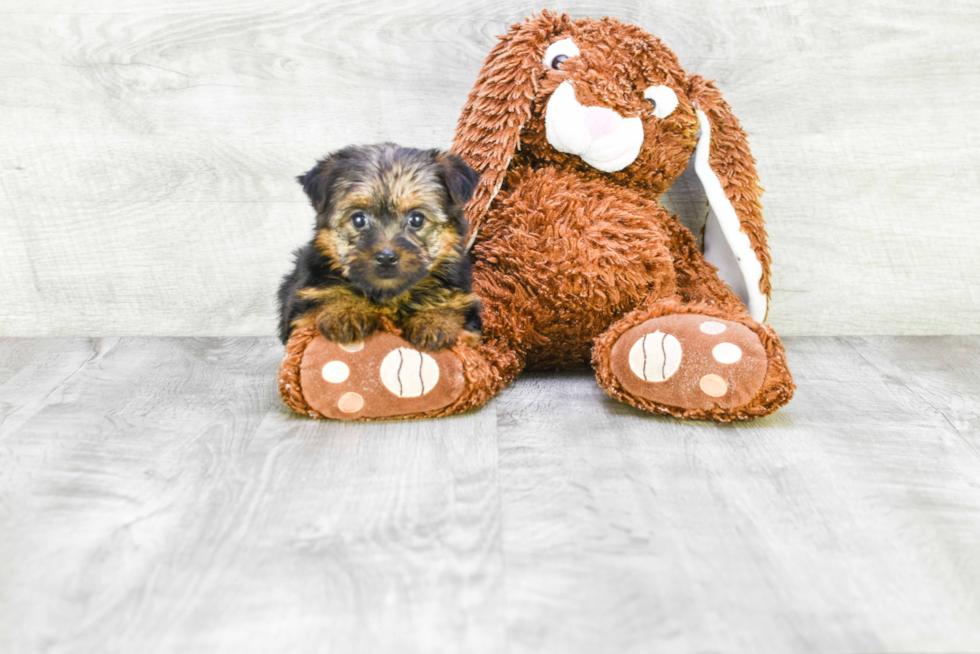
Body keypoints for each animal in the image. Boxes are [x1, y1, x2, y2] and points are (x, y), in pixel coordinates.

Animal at [278, 144, 480, 354]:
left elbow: (453, 307)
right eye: (359, 219)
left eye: (417, 219)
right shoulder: (301, 305)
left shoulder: (465, 304)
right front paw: (345, 310)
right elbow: (327, 294)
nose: (386, 257)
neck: (389, 294)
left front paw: (434, 319)